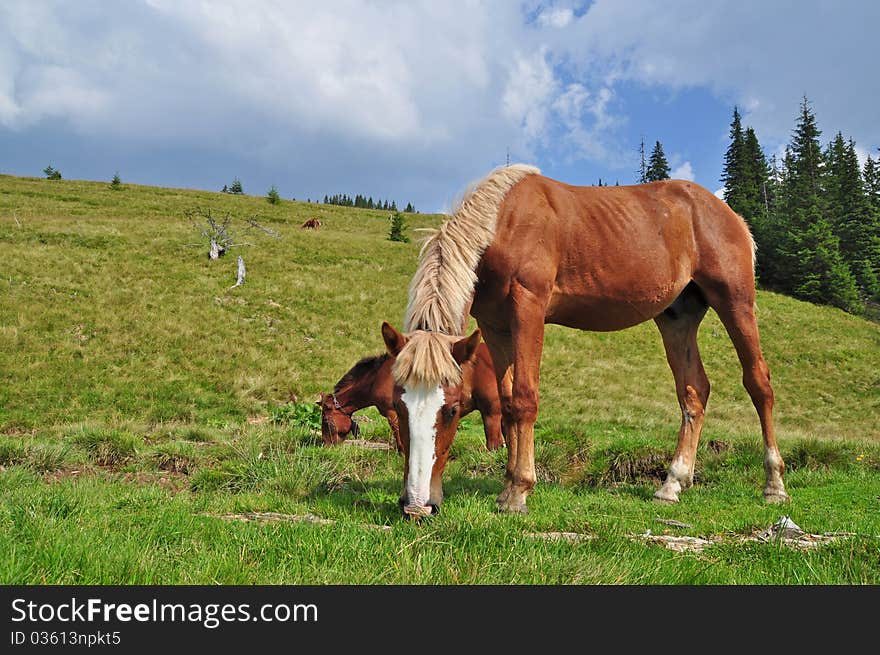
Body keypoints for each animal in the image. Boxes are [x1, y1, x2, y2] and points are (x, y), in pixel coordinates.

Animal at [320, 344, 506, 456]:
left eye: (326, 421)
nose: (326, 447)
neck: (378, 376)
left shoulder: (392, 412)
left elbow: (398, 432)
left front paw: (402, 452)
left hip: (491, 412)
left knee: (494, 441)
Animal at [384, 164, 792, 516]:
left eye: (452, 409)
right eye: (400, 406)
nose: (417, 506)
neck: (502, 225)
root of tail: (729, 214)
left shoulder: (528, 309)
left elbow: (524, 399)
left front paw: (519, 492)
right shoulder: (495, 326)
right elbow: (507, 402)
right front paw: (507, 487)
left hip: (735, 301)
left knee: (759, 383)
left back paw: (774, 484)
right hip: (677, 317)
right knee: (694, 391)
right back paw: (673, 483)